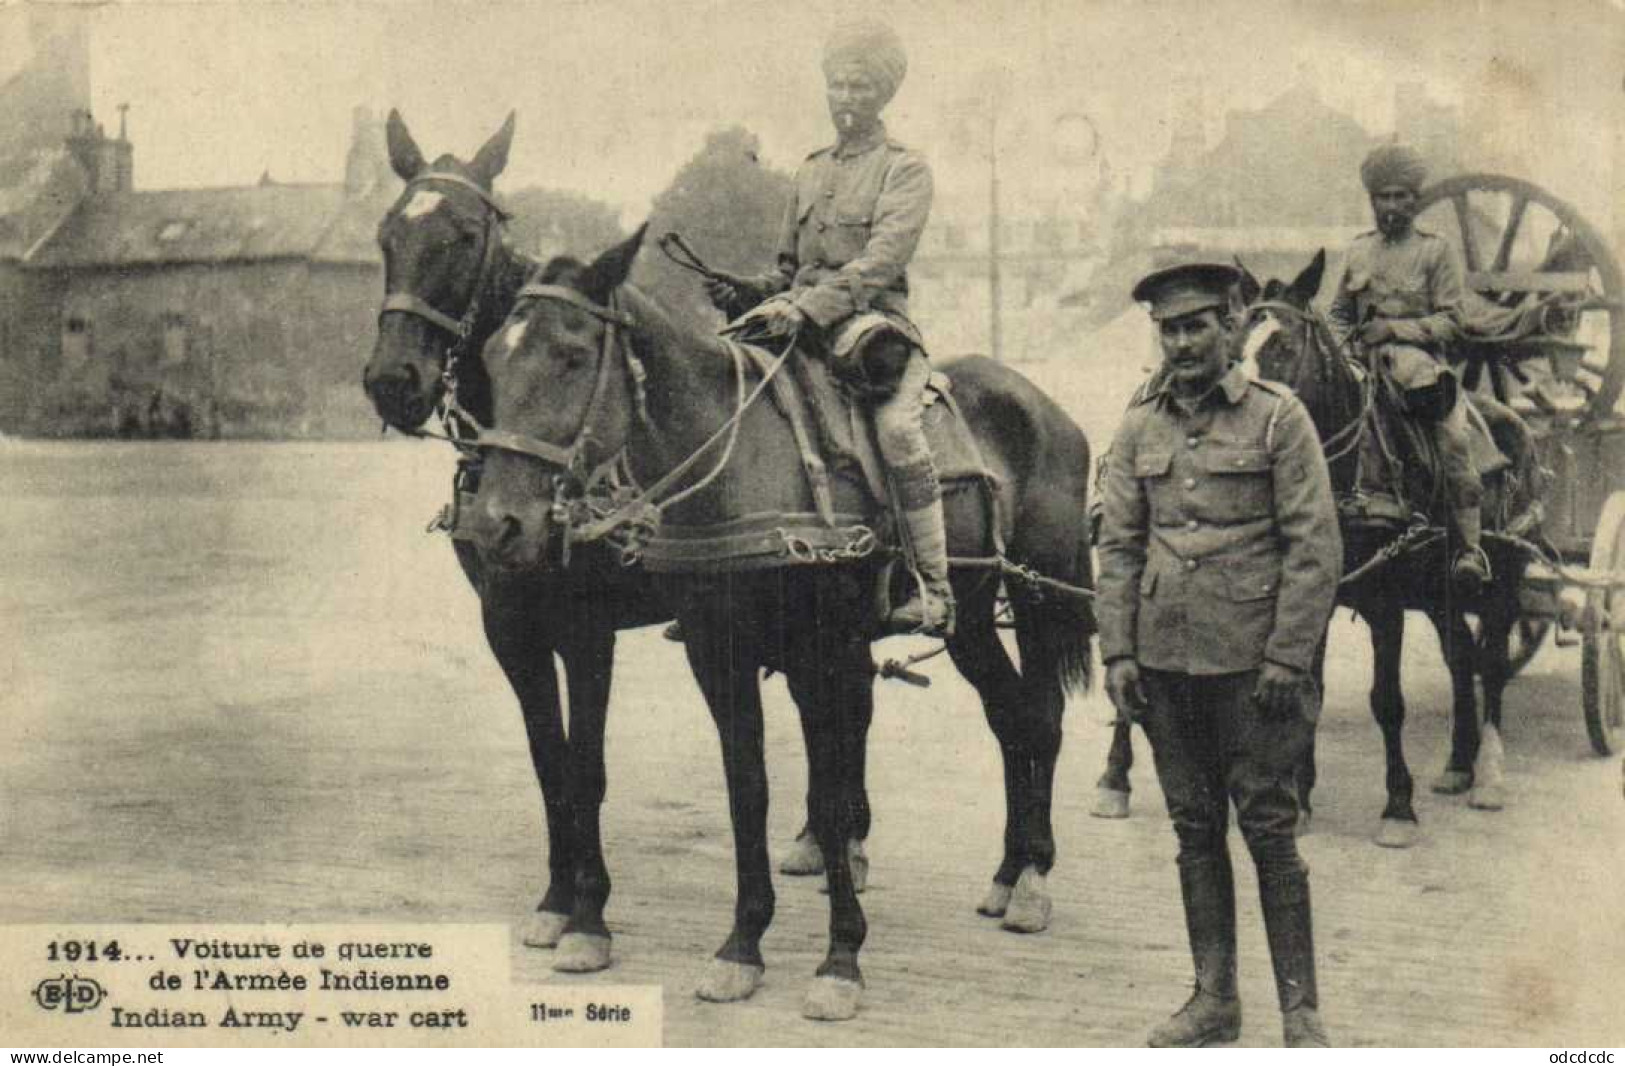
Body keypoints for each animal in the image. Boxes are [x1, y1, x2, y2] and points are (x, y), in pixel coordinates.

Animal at [365, 112, 676, 968]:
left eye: (465, 235)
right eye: (385, 235)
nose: (392, 381)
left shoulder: (589, 628)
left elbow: (588, 765)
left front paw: (590, 916)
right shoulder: (509, 623)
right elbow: (549, 761)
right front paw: (555, 900)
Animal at [471, 230, 1098, 1014]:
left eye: (571, 356)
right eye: (492, 358)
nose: (498, 524)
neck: (739, 464)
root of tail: (1045, 407)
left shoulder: (820, 659)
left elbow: (829, 800)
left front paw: (840, 961)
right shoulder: (717, 657)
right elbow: (749, 790)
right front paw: (741, 945)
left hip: (1040, 602)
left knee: (1040, 721)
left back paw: (1034, 883)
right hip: (972, 617)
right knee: (1010, 720)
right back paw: (1009, 874)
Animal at [1235, 253, 1540, 845]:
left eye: (1282, 345)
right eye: (1235, 341)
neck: (1344, 473)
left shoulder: (1385, 604)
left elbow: (1388, 702)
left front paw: (1398, 808)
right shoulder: (1317, 599)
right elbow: (1310, 692)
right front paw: (1301, 800)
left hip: (1504, 581)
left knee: (1491, 665)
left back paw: (1489, 775)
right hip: (1440, 593)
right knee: (1460, 657)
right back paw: (1458, 764)